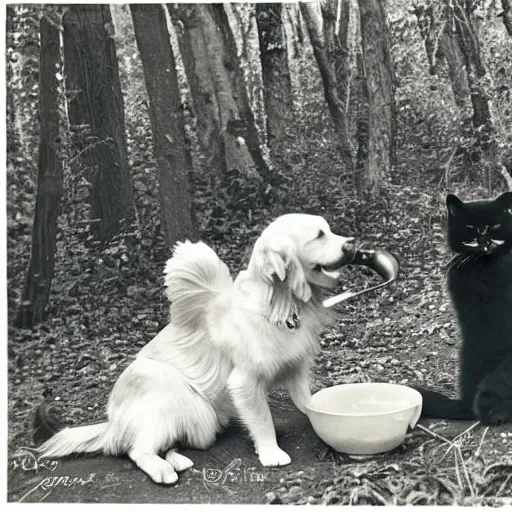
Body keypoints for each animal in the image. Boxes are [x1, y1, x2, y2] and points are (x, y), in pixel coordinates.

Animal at [37, 213, 356, 484]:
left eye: (329, 229)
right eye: (319, 235)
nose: (352, 244)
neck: (278, 307)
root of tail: (112, 424)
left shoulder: (295, 367)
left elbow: (308, 401)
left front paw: (321, 415)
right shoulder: (244, 381)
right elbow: (262, 419)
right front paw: (271, 453)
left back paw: (177, 460)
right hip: (171, 395)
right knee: (137, 450)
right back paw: (163, 471)